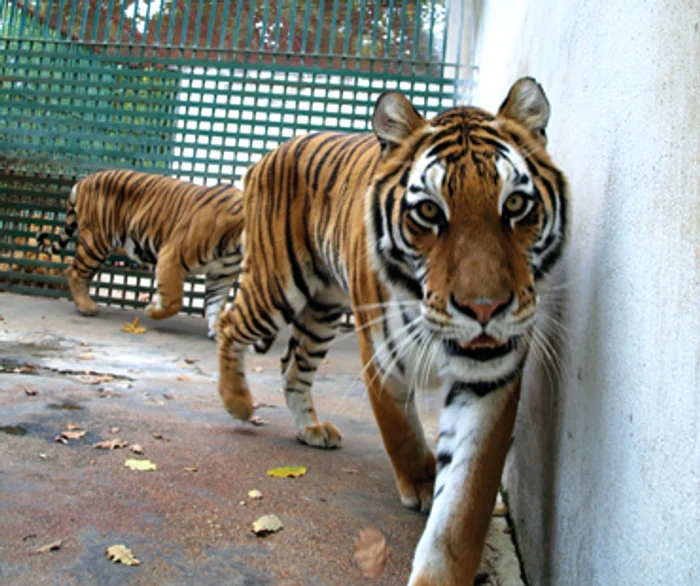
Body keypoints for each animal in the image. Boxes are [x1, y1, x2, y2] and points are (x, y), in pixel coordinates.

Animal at [39, 169, 246, 338]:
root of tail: (83, 181)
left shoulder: (220, 274)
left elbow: (215, 305)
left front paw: (219, 331)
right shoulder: (171, 257)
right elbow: (173, 301)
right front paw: (151, 311)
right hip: (95, 242)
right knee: (74, 271)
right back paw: (86, 307)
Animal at [217, 78, 568, 584]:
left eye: (516, 204)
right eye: (429, 212)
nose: (484, 309)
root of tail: (269, 152)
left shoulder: (490, 374)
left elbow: (464, 503)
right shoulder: (382, 352)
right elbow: (399, 430)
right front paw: (421, 482)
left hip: (322, 308)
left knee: (291, 365)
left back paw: (310, 429)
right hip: (277, 286)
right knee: (228, 323)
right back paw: (238, 403)